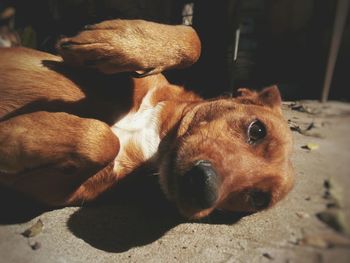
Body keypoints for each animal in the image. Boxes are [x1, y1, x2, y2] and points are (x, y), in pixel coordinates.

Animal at [0, 19, 292, 221]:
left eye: (258, 199)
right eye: (257, 130)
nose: (205, 188)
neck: (157, 140)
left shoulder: (51, 190)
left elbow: (102, 139)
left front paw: (9, 137)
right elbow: (194, 39)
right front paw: (111, 40)